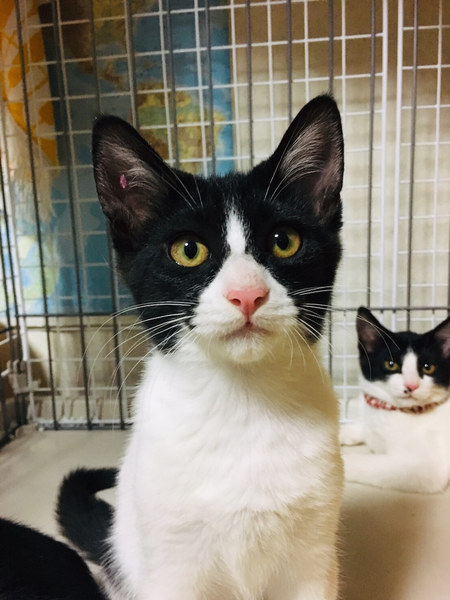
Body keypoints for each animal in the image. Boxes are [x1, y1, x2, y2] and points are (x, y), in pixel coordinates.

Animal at [59, 94, 345, 600]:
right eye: (188, 250)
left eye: (284, 241)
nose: (247, 294)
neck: (244, 404)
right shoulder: (172, 567)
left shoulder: (314, 559)